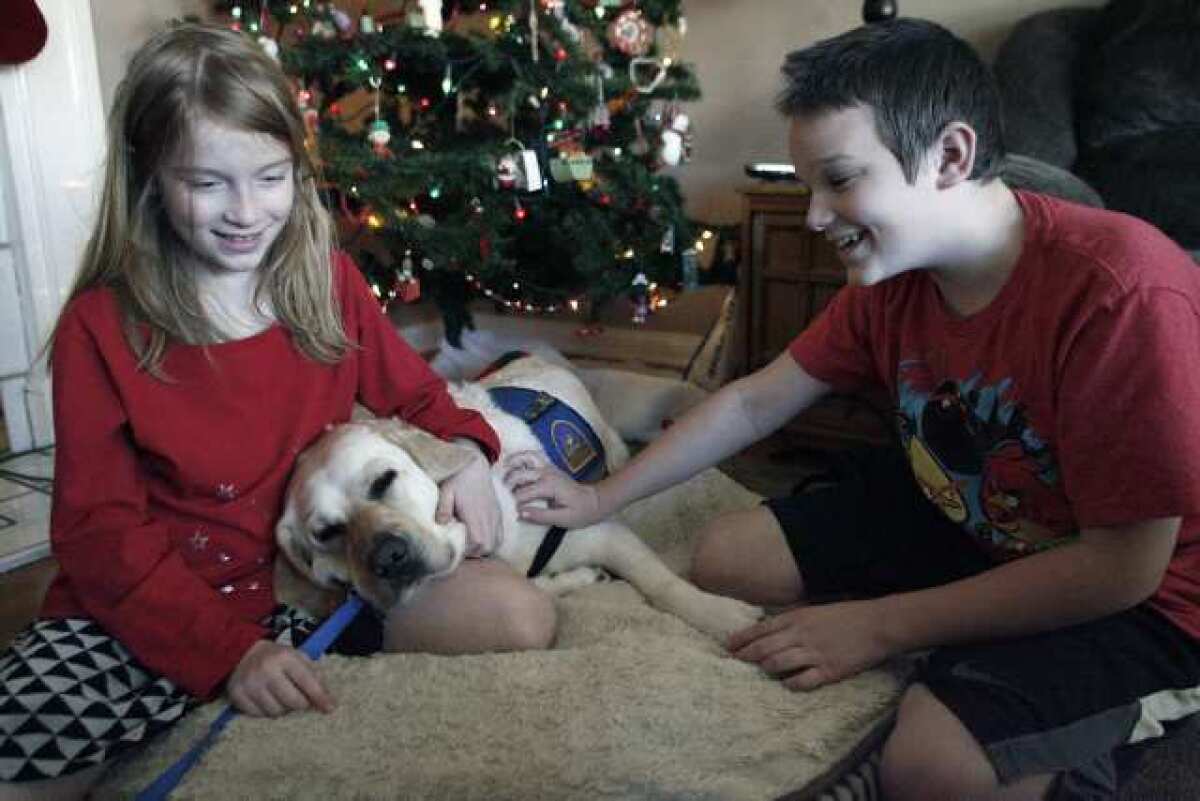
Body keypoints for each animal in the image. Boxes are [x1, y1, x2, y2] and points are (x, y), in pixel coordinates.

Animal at [274, 354, 758, 637]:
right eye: (327, 533)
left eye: (384, 480)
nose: (388, 558)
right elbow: (539, 589)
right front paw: (578, 579)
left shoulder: (600, 532)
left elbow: (662, 583)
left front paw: (722, 615)